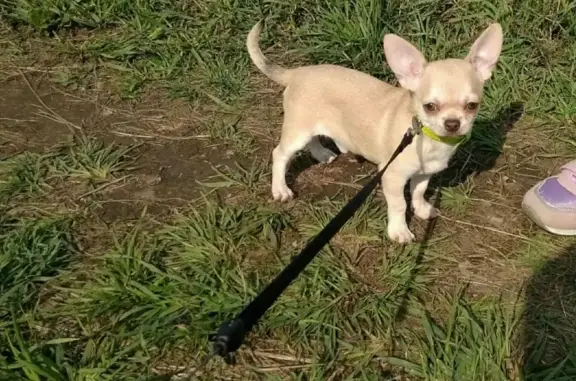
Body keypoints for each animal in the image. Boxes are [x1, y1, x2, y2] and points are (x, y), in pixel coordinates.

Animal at [248, 20, 504, 242]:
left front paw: (422, 209)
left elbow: (419, 192)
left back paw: (321, 153)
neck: (428, 139)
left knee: (314, 139)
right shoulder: (392, 176)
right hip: (298, 132)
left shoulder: (424, 173)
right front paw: (399, 231)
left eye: (472, 106)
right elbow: (400, 204)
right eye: (429, 106)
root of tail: (297, 72)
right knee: (280, 154)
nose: (452, 123)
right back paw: (280, 189)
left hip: (311, 127)